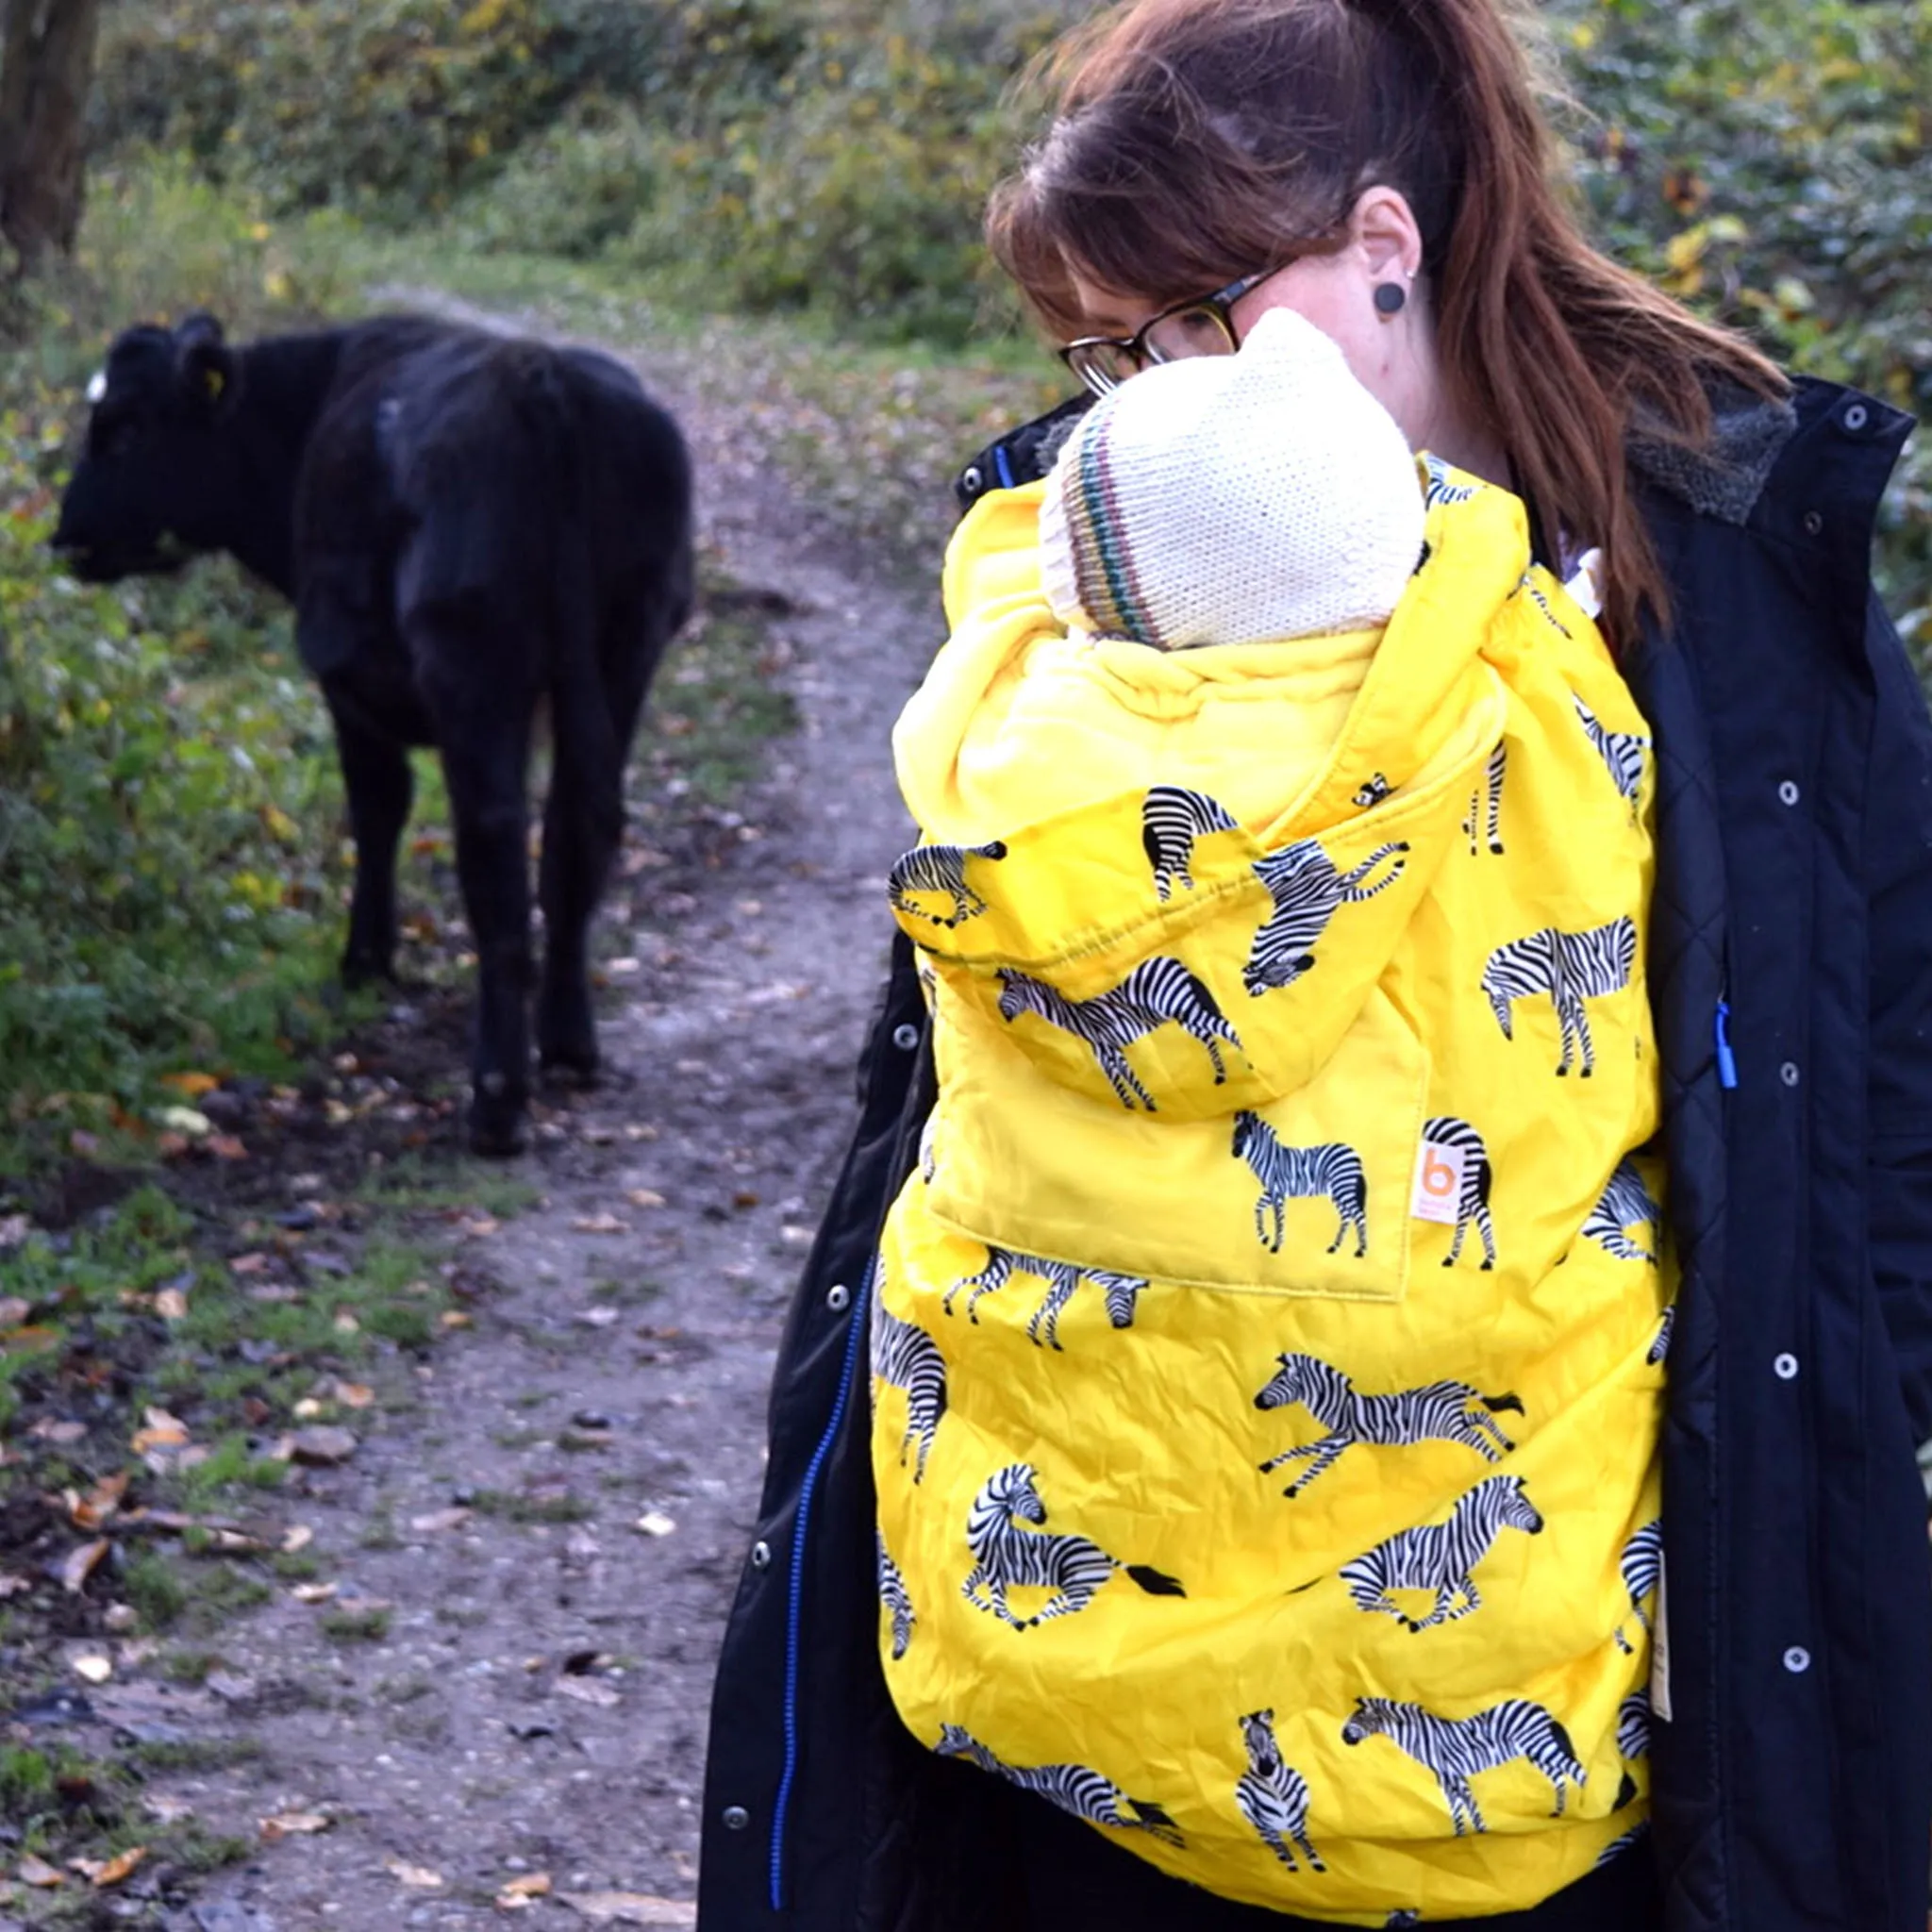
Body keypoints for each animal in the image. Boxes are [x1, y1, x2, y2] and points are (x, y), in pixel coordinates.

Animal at [51, 312, 703, 1143]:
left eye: (126, 427)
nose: (64, 534)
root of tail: (535, 372)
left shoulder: (343, 675)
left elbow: (377, 806)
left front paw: (364, 959)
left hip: (473, 661)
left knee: (493, 845)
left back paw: (496, 1099)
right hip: (631, 642)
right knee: (576, 832)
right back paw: (569, 1046)